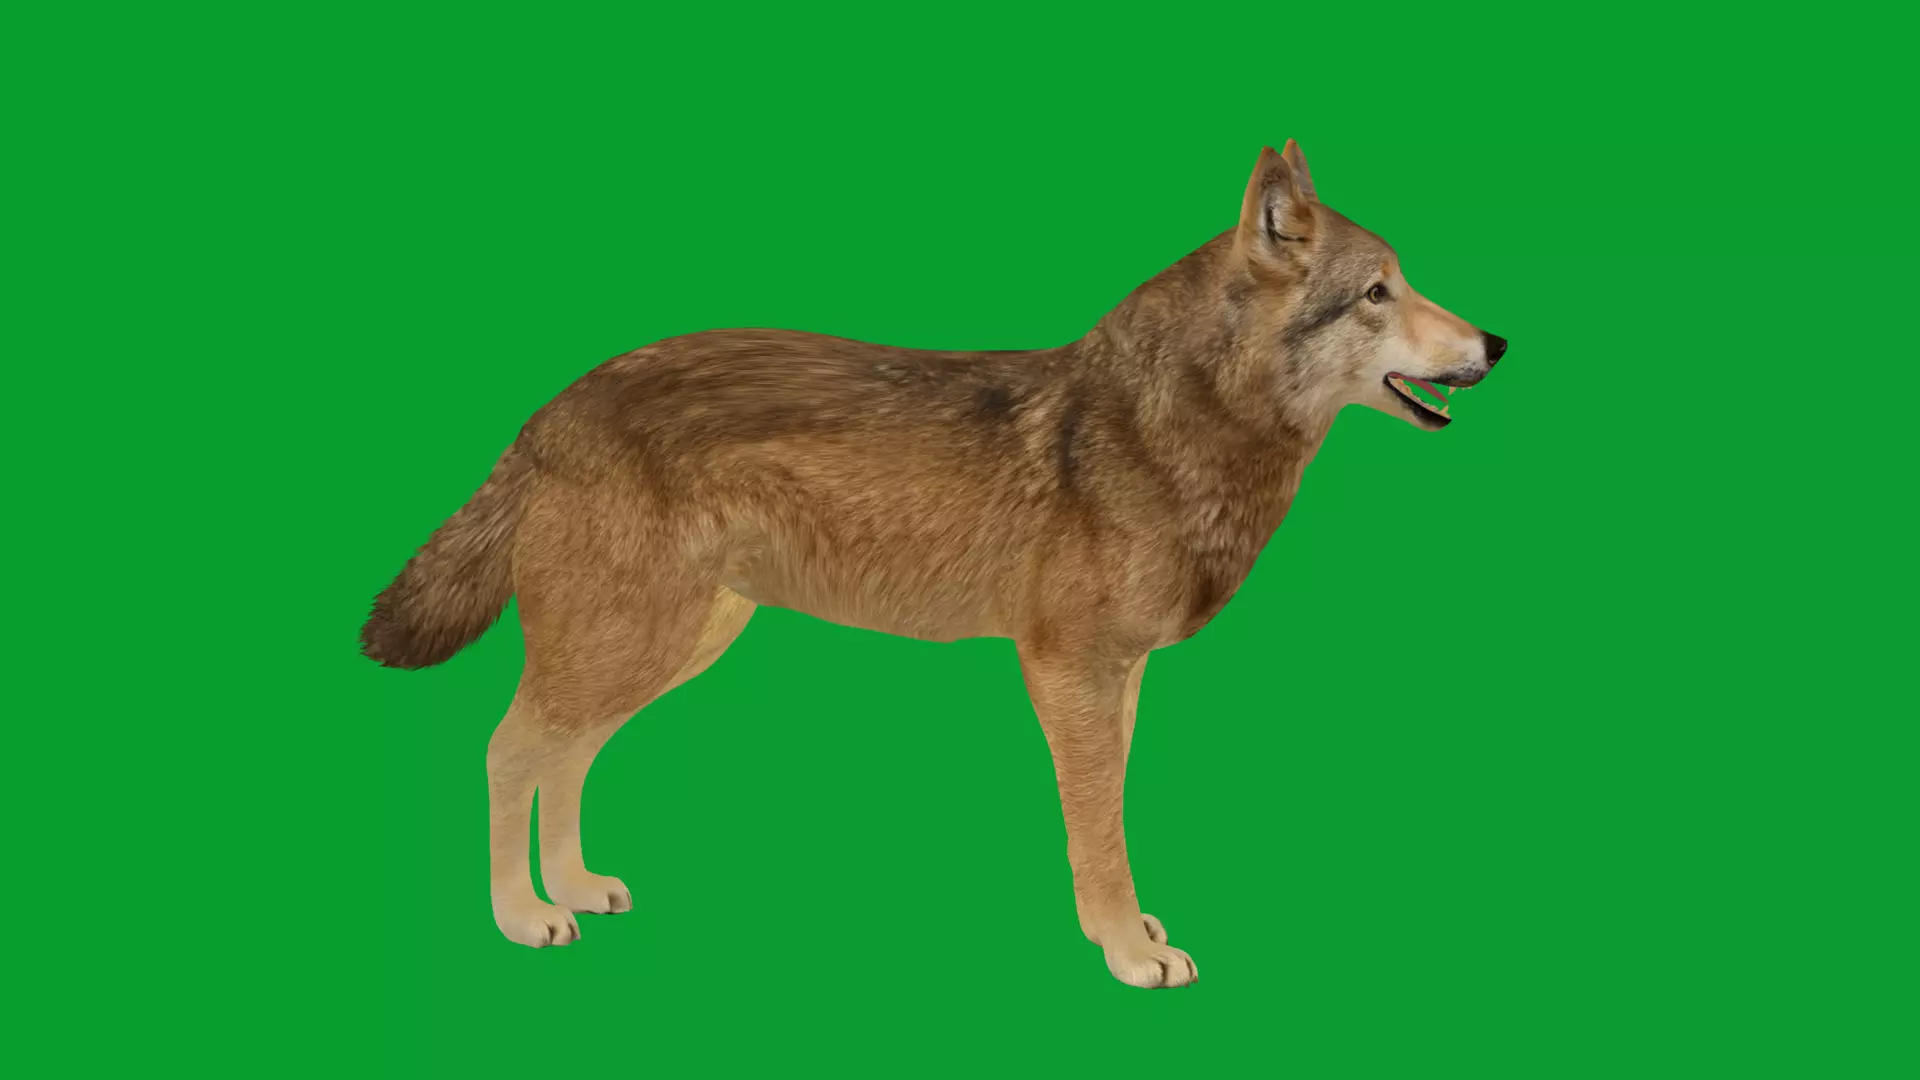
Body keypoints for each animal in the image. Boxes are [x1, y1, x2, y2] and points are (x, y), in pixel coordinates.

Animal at [361, 141, 1508, 988]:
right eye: (1377, 292)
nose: (1496, 344)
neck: (1173, 429)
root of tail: (552, 406)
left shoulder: (1121, 677)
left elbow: (1107, 817)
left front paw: (1126, 931)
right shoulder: (1068, 671)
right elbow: (1099, 828)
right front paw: (1128, 951)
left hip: (664, 649)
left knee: (565, 756)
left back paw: (571, 887)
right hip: (625, 645)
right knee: (510, 749)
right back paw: (522, 915)